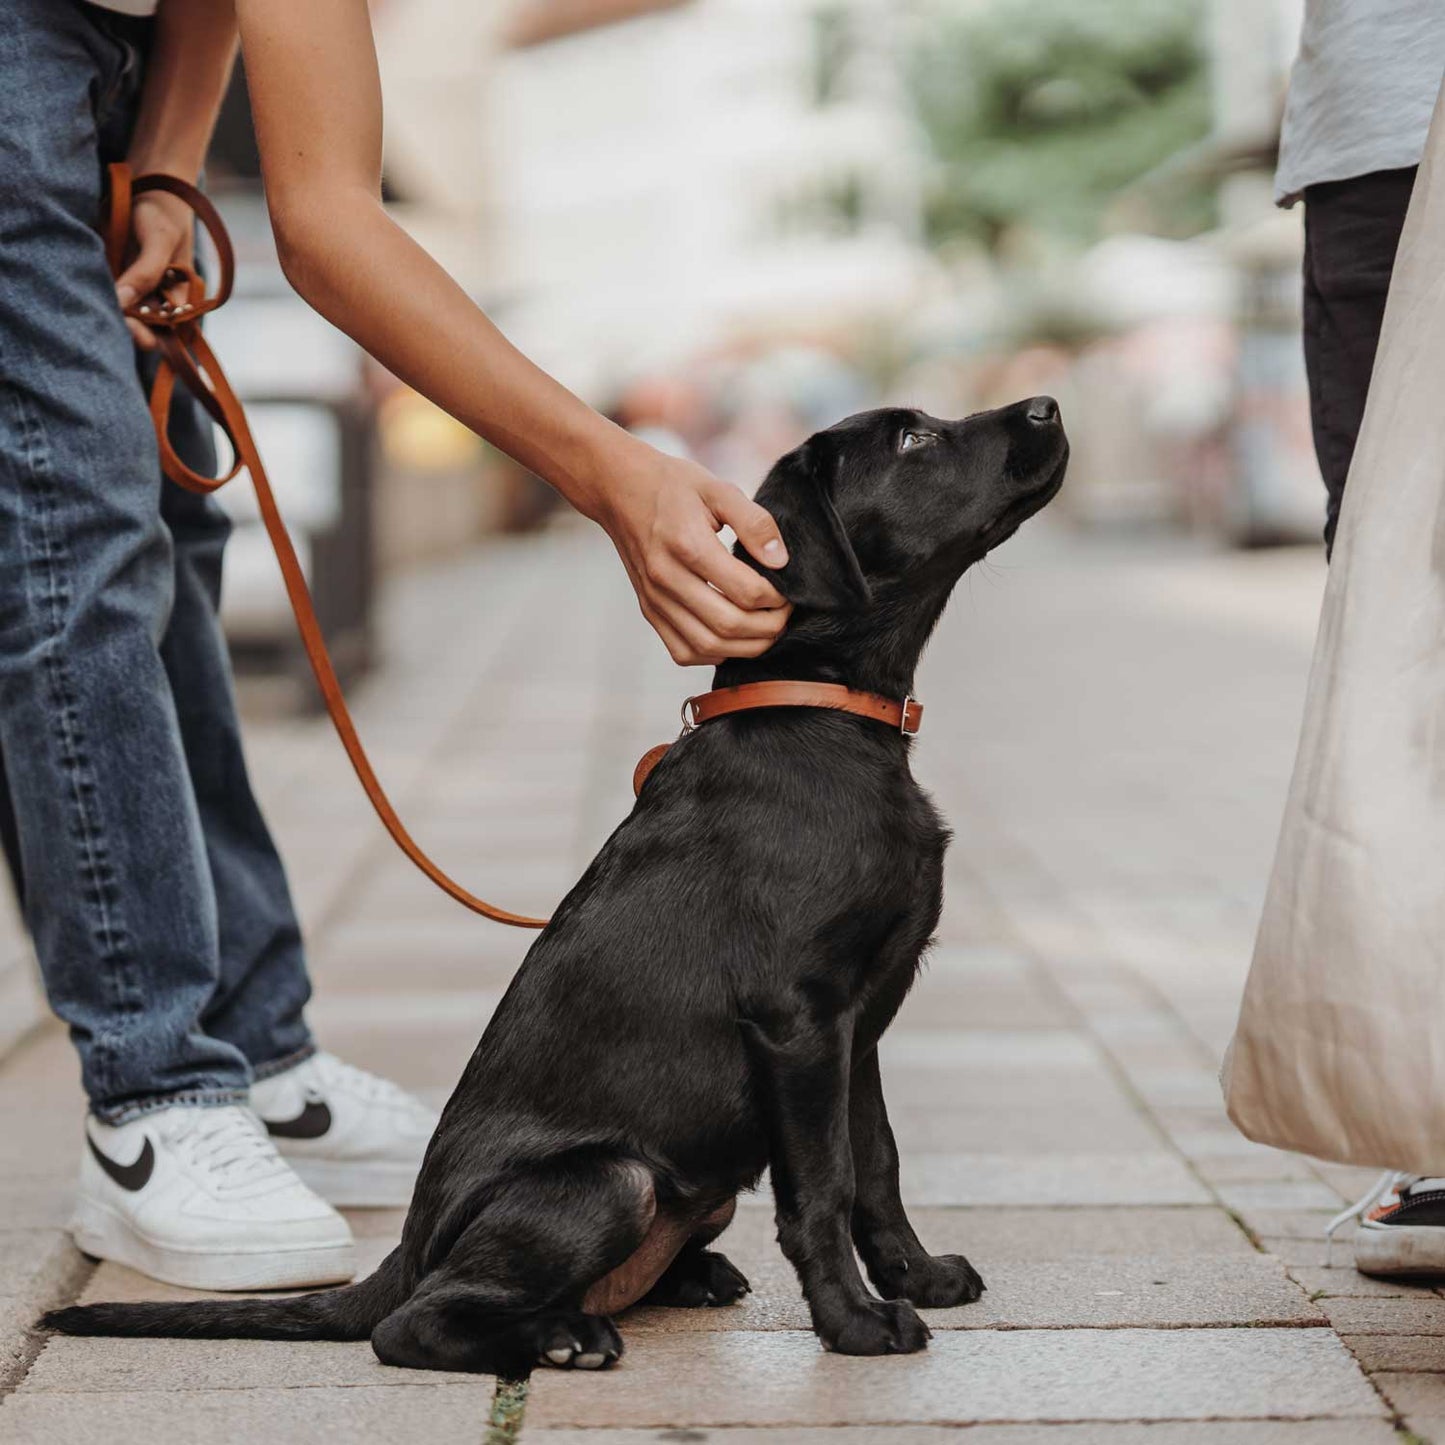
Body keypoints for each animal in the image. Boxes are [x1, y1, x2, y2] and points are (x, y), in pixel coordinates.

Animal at [45, 398, 1069, 1375]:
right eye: (910, 440)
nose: (1047, 406)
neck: (816, 709)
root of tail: (405, 1253)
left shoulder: (857, 1027)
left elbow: (877, 1165)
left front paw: (919, 1276)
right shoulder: (799, 1018)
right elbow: (821, 1186)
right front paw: (855, 1323)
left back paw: (671, 1283)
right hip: (611, 1181)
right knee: (415, 1324)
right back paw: (560, 1340)